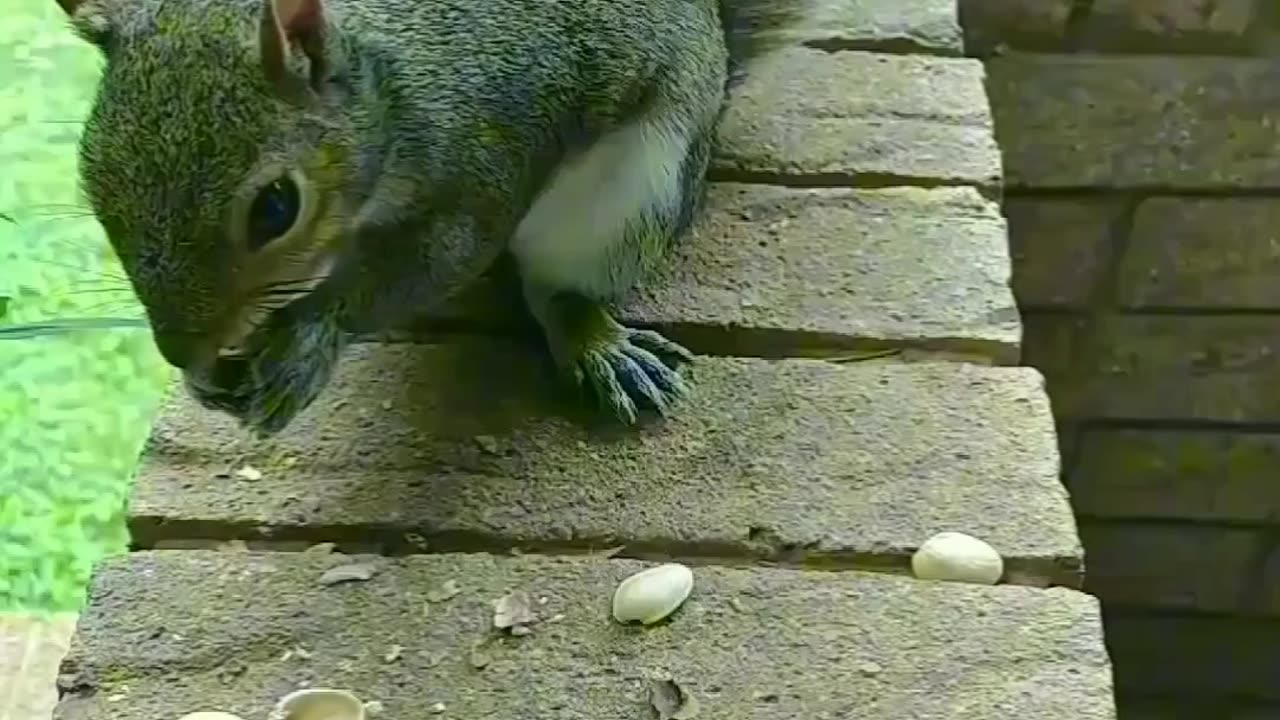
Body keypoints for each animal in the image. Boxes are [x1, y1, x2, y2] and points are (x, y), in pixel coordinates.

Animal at [57, 0, 798, 435]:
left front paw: (310, 346)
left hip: (631, 193)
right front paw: (216, 378)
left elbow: (436, 260)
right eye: (92, 178)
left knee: (556, 287)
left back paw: (597, 344)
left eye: (275, 208)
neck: (391, 79)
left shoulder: (485, 153)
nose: (182, 352)